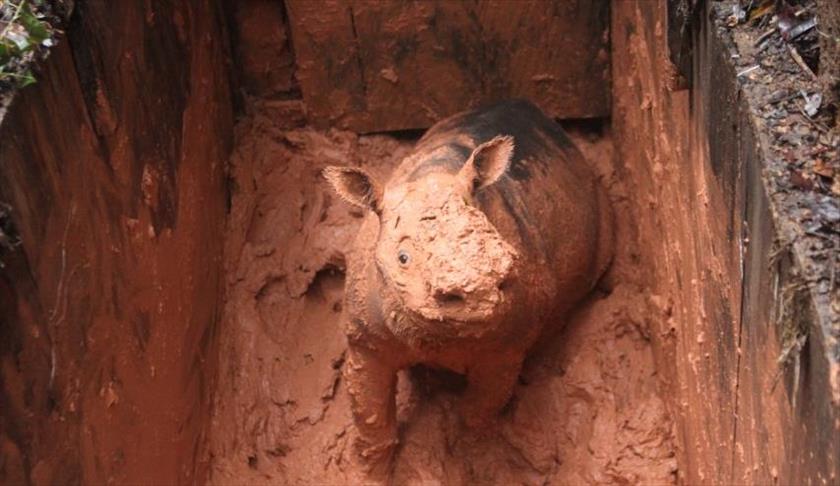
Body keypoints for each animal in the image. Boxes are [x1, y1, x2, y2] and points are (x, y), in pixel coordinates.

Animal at [322, 98, 612, 474]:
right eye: (403, 257)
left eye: (498, 245)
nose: (478, 291)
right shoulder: (365, 337)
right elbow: (371, 418)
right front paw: (368, 474)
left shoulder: (506, 346)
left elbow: (478, 412)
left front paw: (473, 459)